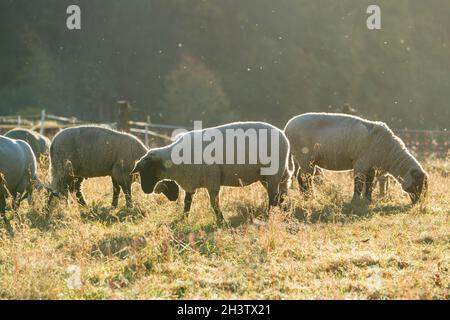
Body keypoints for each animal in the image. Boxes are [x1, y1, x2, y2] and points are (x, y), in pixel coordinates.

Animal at [47, 125, 178, 208]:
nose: (175, 199)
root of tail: (53, 142)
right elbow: (126, 191)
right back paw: (61, 206)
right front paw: (130, 206)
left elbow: (116, 190)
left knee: (73, 189)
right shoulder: (121, 173)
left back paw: (82, 205)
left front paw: (114, 206)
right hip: (64, 169)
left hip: (74, 172)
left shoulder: (114, 173)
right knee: (61, 188)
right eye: (171, 187)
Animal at [131, 120, 292, 225]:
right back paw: (281, 212)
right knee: (278, 195)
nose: (145, 190)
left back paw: (268, 216)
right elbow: (187, 203)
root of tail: (283, 134)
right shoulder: (190, 183)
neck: (174, 163)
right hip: (266, 176)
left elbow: (214, 204)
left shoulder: (212, 180)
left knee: (273, 197)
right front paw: (183, 220)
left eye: (149, 169)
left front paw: (221, 221)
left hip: (273, 173)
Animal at [284, 112, 428, 202]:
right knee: (306, 177)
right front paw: (355, 201)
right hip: (305, 157)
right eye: (418, 183)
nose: (419, 202)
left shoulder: (371, 167)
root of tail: (287, 127)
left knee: (300, 176)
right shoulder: (360, 164)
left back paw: (306, 196)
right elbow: (358, 184)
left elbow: (369, 185)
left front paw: (368, 200)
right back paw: (310, 197)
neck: (389, 153)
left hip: (300, 159)